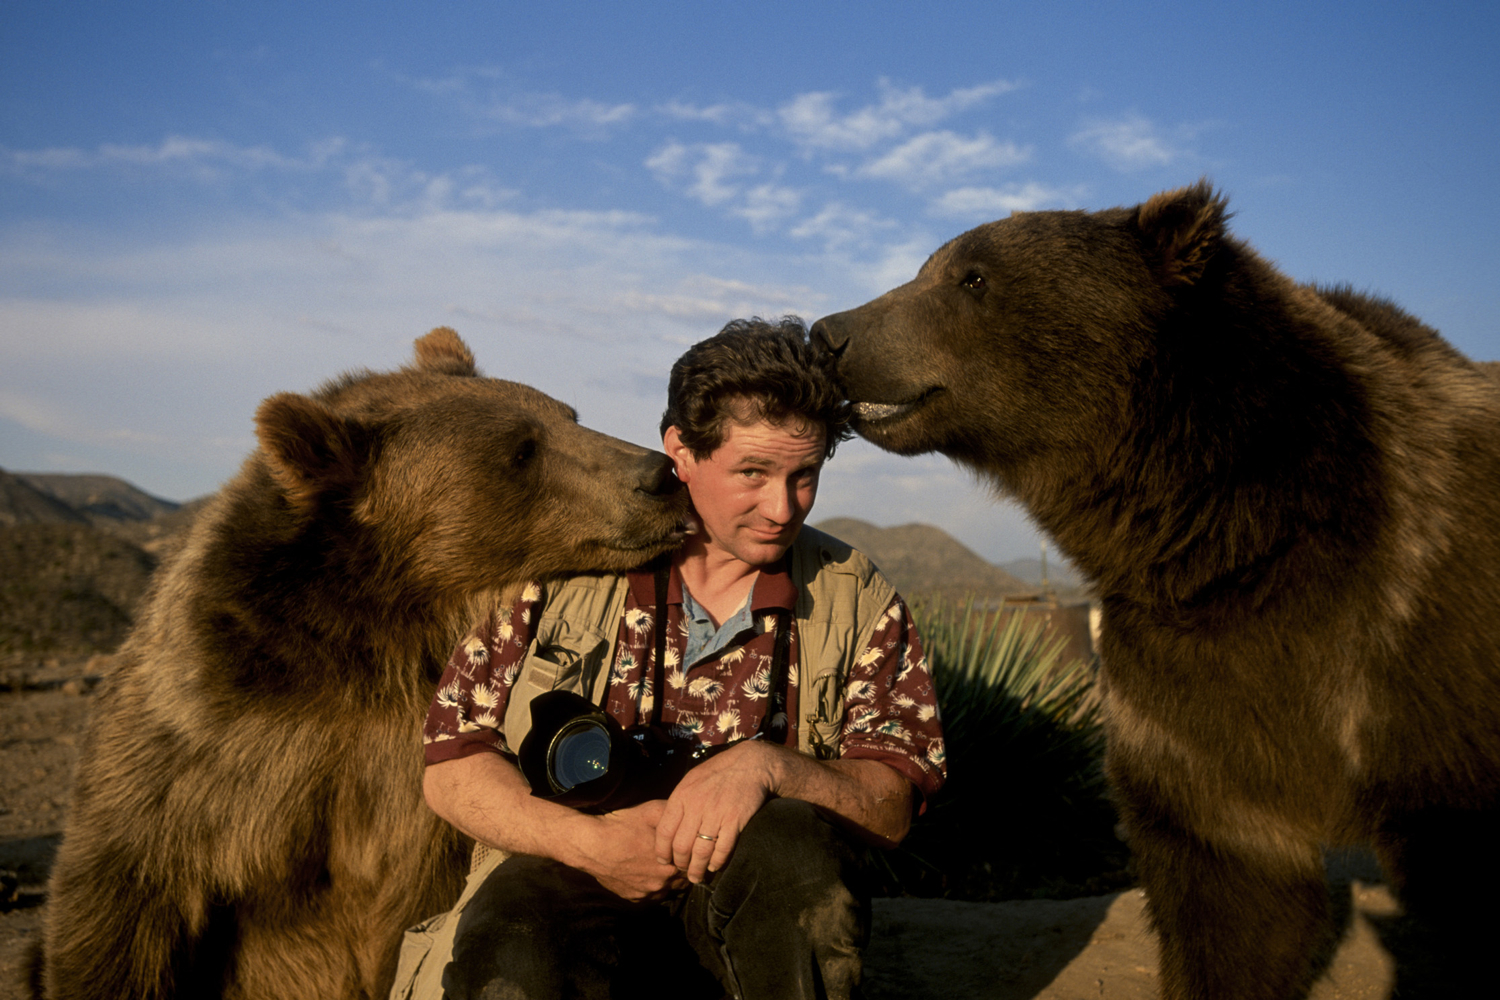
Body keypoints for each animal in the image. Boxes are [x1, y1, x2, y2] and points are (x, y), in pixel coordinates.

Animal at [41, 329, 693, 1000]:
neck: (381, 639)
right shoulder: (203, 754)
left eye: (568, 415)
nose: (660, 474)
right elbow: (122, 908)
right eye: (520, 450)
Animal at [816, 183, 1500, 995]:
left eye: (972, 277)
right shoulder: (1190, 691)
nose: (830, 333)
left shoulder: (1418, 636)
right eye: (930, 267)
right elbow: (1231, 893)